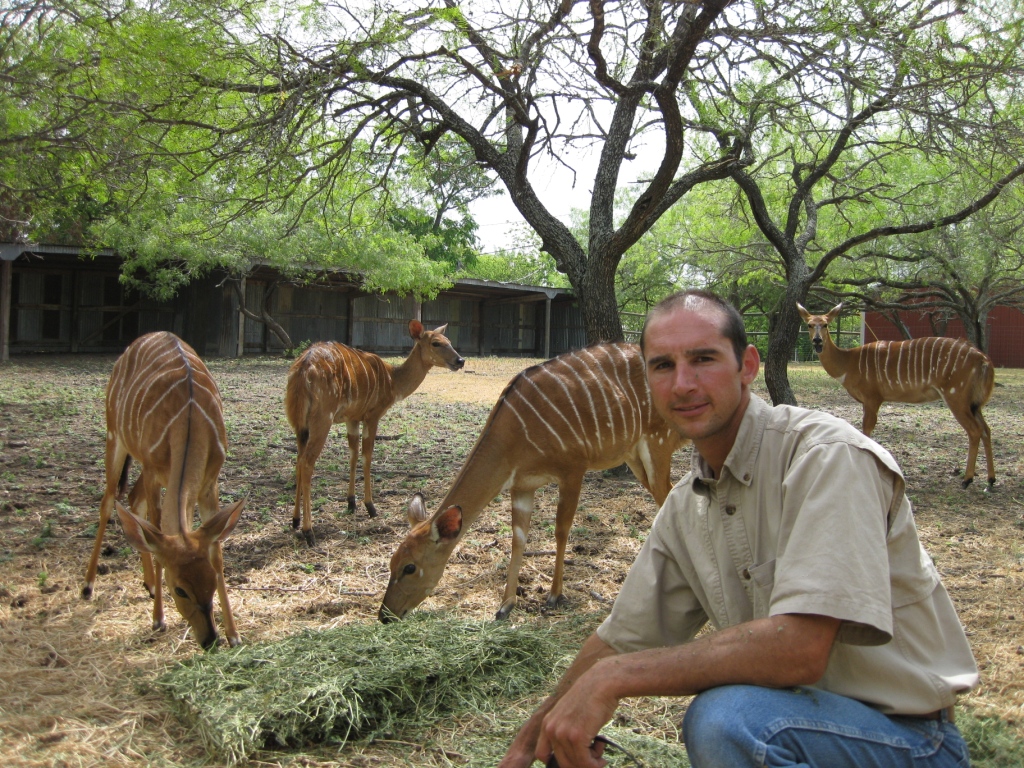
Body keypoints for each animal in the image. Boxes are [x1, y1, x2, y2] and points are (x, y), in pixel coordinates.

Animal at [82, 331, 245, 649]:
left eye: (211, 580)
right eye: (179, 589)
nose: (210, 639)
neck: (189, 423)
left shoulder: (209, 483)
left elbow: (216, 550)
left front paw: (233, 634)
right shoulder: (154, 473)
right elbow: (157, 535)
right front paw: (158, 619)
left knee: (132, 501)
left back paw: (147, 585)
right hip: (115, 436)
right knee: (109, 502)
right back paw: (88, 586)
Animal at [285, 319, 464, 545]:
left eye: (448, 340)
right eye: (436, 343)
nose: (460, 360)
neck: (392, 380)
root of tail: (303, 369)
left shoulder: (352, 418)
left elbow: (353, 454)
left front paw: (351, 503)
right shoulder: (373, 416)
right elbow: (367, 456)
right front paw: (370, 507)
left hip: (300, 424)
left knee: (299, 460)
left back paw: (295, 521)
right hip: (322, 420)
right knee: (307, 462)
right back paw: (309, 531)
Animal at [379, 342, 688, 622]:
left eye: (409, 567)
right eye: (391, 562)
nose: (384, 615)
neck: (515, 436)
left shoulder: (573, 469)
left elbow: (561, 531)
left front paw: (554, 595)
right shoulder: (523, 486)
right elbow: (518, 539)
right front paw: (505, 606)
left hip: (657, 444)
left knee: (668, 496)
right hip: (635, 457)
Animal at [797, 303, 996, 488]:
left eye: (825, 324)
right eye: (809, 324)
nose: (817, 341)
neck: (849, 363)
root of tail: (984, 360)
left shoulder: (872, 398)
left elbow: (867, 429)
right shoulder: (868, 401)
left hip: (956, 397)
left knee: (974, 431)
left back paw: (967, 479)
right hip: (974, 403)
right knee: (986, 430)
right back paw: (990, 481)